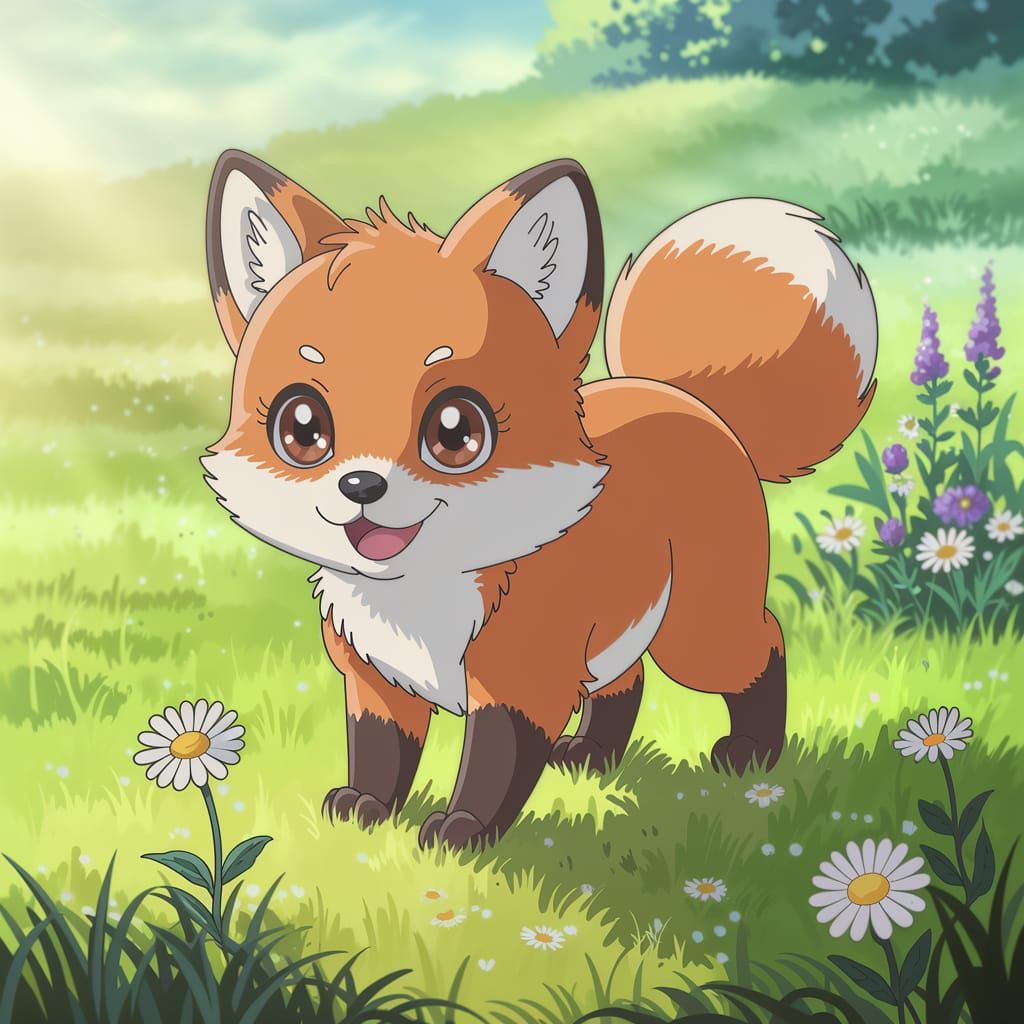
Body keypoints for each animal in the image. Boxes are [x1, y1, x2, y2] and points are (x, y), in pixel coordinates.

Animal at [202, 150, 877, 851]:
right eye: (303, 427)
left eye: (455, 431)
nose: (362, 486)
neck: (421, 601)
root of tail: (690, 398)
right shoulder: (376, 679)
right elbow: (381, 753)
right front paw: (367, 807)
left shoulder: (522, 678)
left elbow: (494, 762)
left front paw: (464, 831)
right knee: (625, 682)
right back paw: (592, 756)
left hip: (695, 635)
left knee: (763, 644)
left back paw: (751, 754)